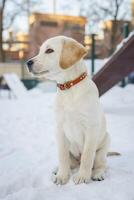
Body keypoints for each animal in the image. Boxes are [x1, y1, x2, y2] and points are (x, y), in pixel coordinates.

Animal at [26, 35, 110, 184]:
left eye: (49, 50)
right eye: (40, 50)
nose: (27, 63)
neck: (69, 88)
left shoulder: (91, 128)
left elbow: (87, 156)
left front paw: (83, 176)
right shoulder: (60, 128)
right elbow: (62, 156)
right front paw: (62, 176)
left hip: (105, 143)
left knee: (100, 164)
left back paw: (98, 174)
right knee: (71, 163)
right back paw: (57, 169)